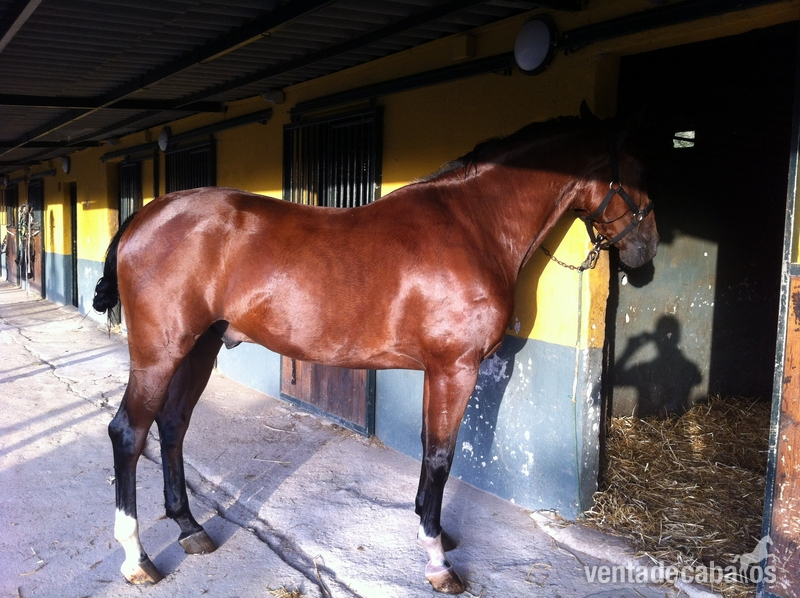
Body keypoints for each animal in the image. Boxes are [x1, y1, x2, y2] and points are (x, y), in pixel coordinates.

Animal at [92, 104, 658, 594]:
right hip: (160, 355)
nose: (645, 255)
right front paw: (437, 561)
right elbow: (440, 455)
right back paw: (137, 558)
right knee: (129, 433)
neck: (472, 226)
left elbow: (431, 448)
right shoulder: (456, 368)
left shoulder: (438, 370)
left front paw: (433, 527)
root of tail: (146, 216)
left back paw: (190, 528)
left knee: (172, 425)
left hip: (199, 349)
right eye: (637, 171)